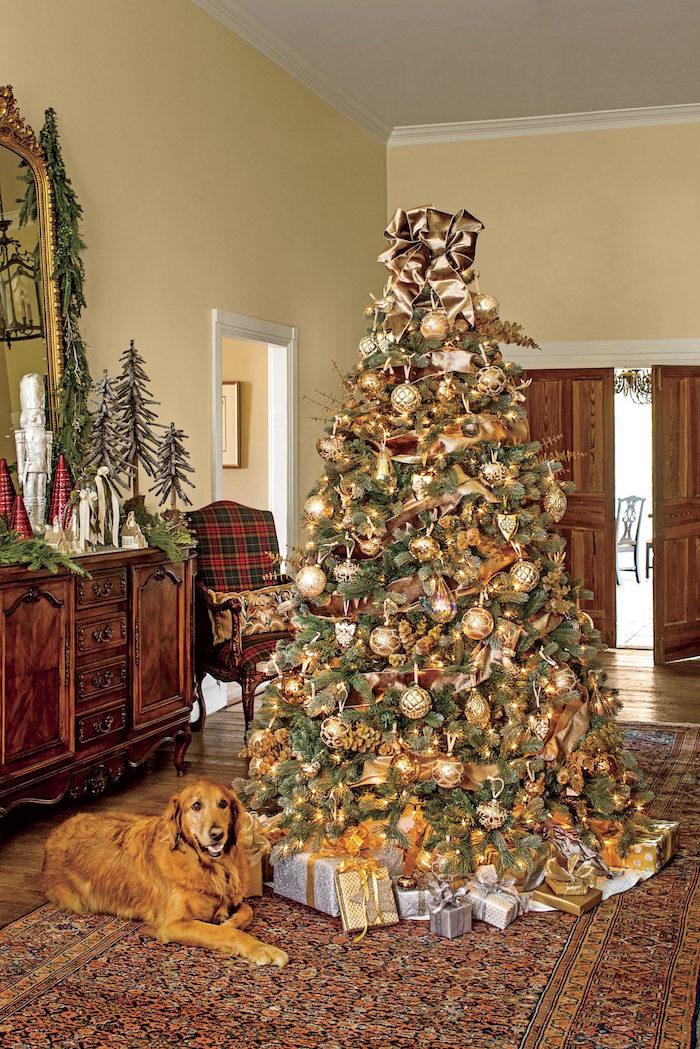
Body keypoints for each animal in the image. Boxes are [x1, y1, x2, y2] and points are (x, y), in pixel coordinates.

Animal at [41, 780, 287, 965]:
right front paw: (263, 949)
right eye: (196, 806)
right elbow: (227, 932)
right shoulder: (172, 924)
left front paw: (226, 919)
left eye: (223, 803)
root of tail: (54, 832)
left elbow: (246, 911)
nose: (217, 834)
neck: (210, 867)